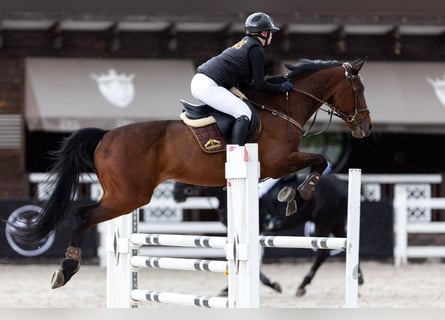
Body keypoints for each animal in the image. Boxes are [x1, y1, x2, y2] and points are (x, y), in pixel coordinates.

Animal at [172, 174, 362, 296]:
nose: (175, 195)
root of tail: (343, 184)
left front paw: (272, 285)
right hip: (336, 223)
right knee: (347, 246)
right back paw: (359, 279)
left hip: (323, 223)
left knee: (322, 253)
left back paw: (302, 286)